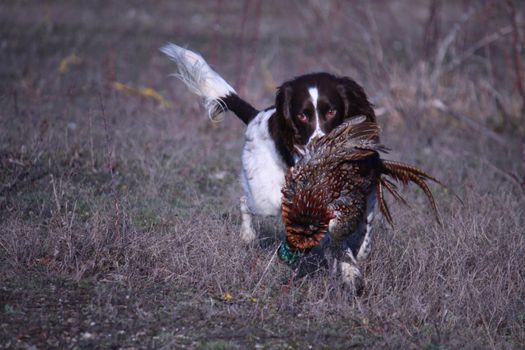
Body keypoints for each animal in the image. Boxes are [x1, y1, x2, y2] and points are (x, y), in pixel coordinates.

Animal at [162, 44, 374, 246]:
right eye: (302, 115)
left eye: (331, 111)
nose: (320, 146)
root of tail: (256, 116)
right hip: (264, 195)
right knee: (246, 202)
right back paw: (248, 235)